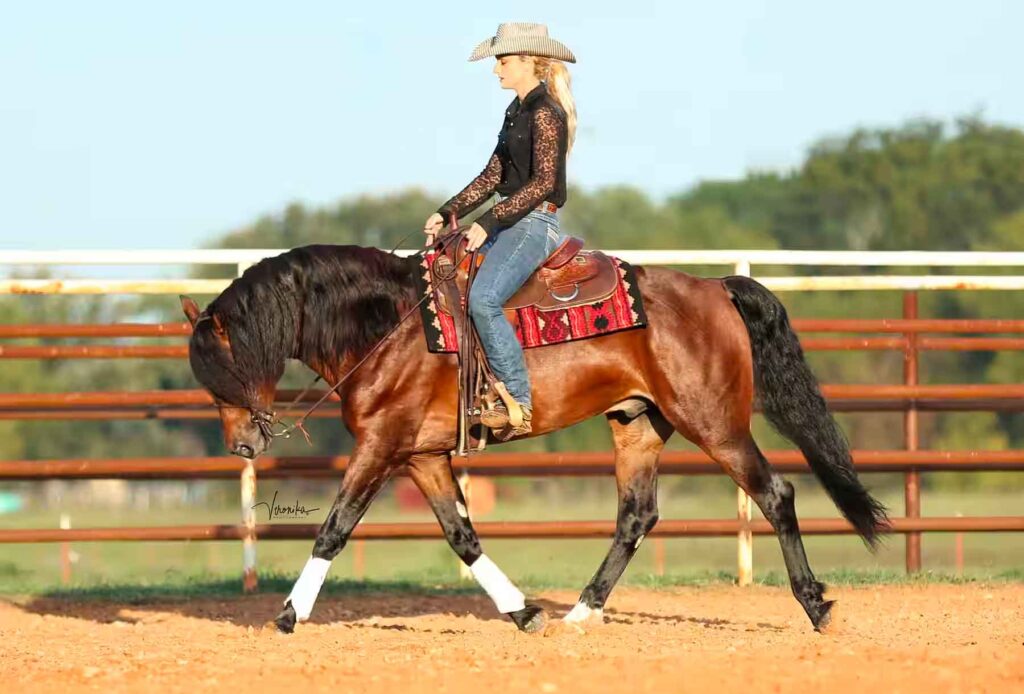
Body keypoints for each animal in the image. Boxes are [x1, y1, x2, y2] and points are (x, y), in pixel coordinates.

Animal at [180, 242, 889, 635]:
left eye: (225, 371)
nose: (242, 447)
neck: (388, 325)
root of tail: (715, 287)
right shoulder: (422, 455)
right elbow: (462, 536)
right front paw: (523, 612)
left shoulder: (380, 447)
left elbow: (334, 528)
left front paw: (287, 615)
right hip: (638, 425)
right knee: (636, 516)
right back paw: (581, 611)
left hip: (714, 422)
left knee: (775, 495)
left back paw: (816, 607)